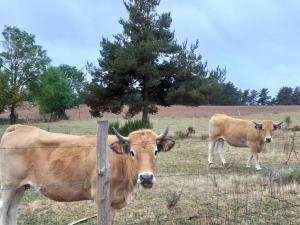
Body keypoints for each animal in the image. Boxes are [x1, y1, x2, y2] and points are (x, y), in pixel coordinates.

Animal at [0, 124, 176, 224]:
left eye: (156, 151)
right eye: (132, 152)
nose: (146, 177)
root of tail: (20, 127)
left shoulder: (114, 202)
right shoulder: (101, 198)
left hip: (21, 186)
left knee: (12, 210)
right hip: (8, 185)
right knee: (3, 208)